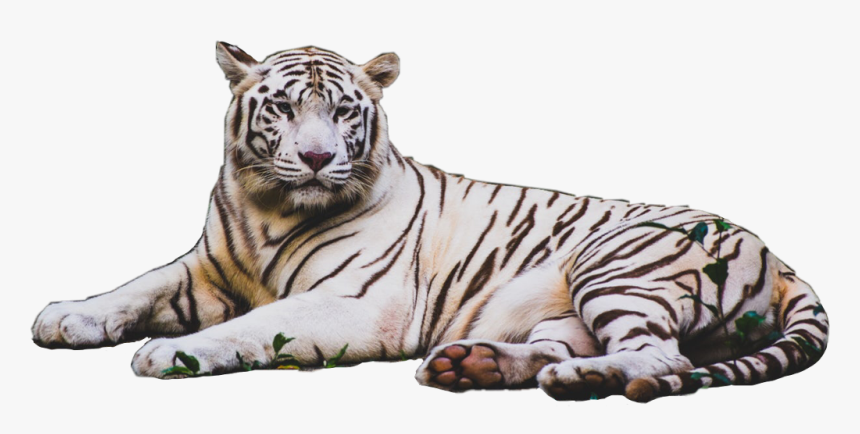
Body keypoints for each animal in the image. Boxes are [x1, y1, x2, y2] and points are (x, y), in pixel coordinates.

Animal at [32, 42, 829, 402]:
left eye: (343, 111)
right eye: (283, 107)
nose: (317, 158)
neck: (269, 208)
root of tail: (781, 257)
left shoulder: (356, 304)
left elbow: (254, 326)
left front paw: (171, 354)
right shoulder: (204, 268)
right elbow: (136, 285)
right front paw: (65, 316)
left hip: (616, 265)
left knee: (662, 357)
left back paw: (581, 378)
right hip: (566, 306)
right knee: (568, 345)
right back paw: (471, 364)